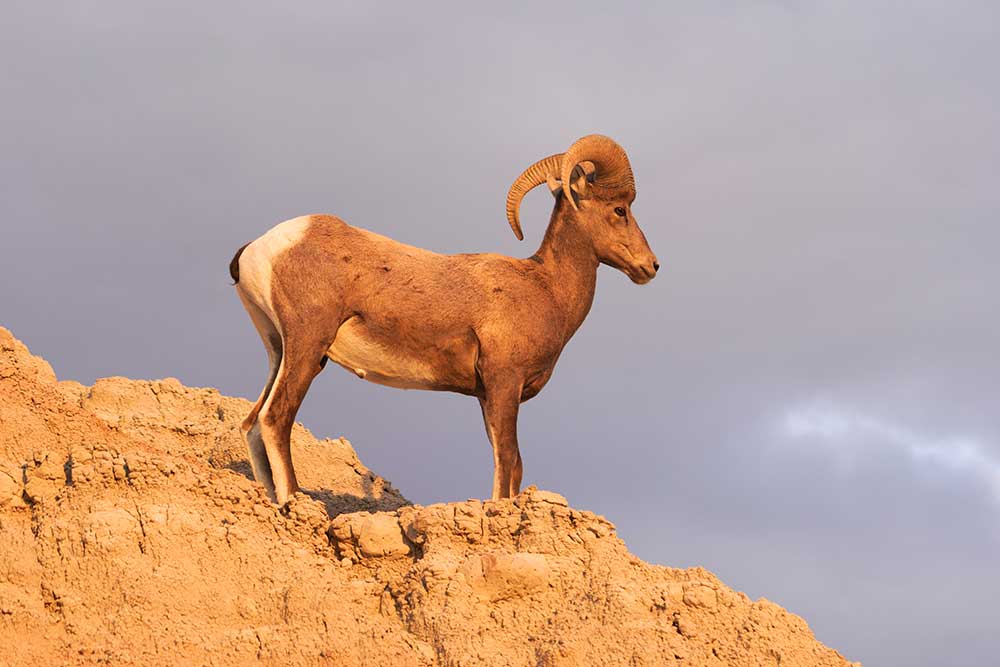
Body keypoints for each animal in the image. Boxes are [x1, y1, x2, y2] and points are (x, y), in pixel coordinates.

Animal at [230, 134, 660, 506]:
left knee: (252, 423)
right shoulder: (504, 384)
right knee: (275, 418)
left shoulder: (487, 397)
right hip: (307, 346)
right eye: (619, 209)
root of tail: (258, 248)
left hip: (280, 350)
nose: (651, 266)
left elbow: (511, 465)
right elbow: (508, 460)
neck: (546, 287)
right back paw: (293, 500)